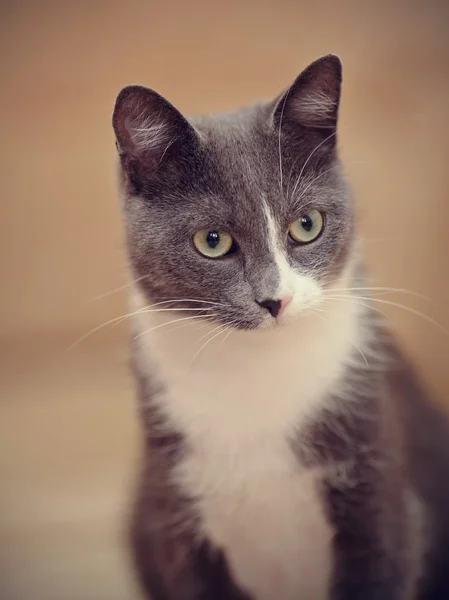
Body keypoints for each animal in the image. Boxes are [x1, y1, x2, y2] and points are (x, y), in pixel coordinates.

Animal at [111, 54, 448, 596]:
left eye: (306, 224)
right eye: (212, 241)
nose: (276, 300)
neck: (256, 373)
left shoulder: (380, 494)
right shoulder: (177, 512)